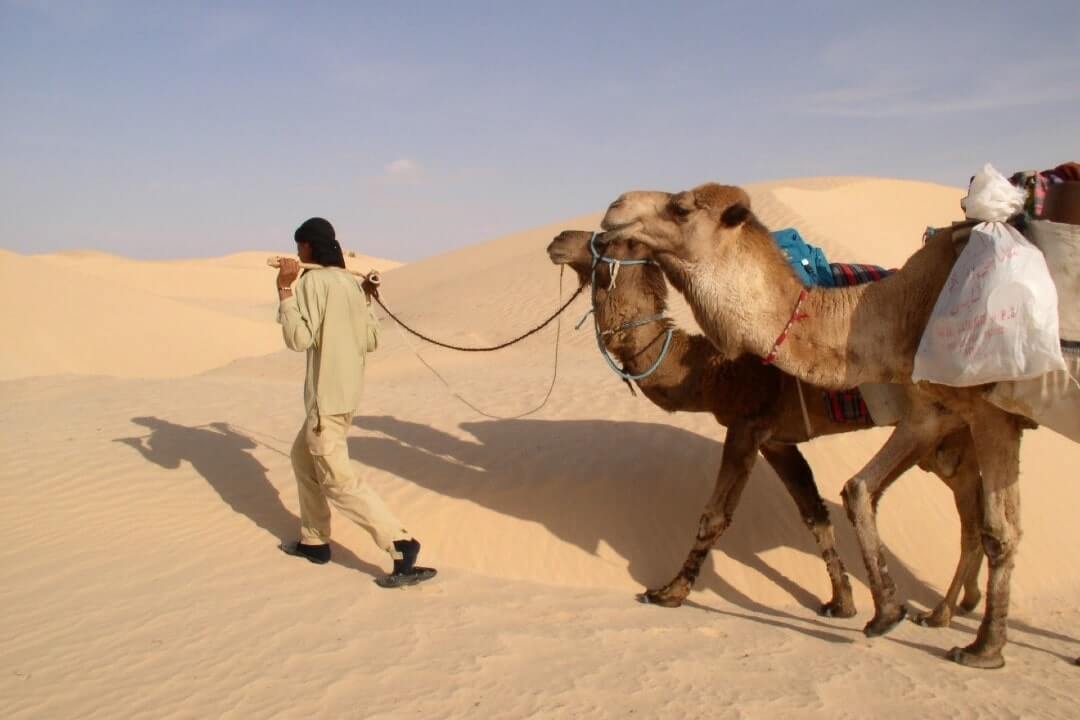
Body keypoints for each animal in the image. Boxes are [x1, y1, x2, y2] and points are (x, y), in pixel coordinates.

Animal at [548, 229, 989, 626]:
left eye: (607, 239)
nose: (559, 239)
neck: (710, 370)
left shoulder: (747, 425)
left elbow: (715, 515)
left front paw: (668, 593)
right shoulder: (777, 440)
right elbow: (814, 514)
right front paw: (841, 603)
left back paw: (950, 617)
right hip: (951, 437)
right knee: (976, 509)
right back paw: (960, 608)